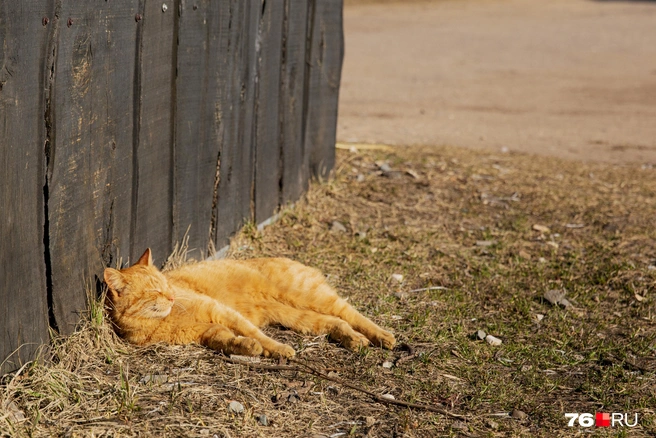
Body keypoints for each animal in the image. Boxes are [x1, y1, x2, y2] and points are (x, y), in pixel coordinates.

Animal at [104, 248, 394, 358]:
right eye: (155, 291)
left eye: (166, 284)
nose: (172, 296)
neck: (159, 321)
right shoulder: (207, 332)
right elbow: (230, 340)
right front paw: (248, 347)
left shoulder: (221, 312)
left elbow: (257, 334)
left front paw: (276, 349)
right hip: (299, 317)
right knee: (336, 322)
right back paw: (354, 340)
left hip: (310, 295)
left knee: (350, 312)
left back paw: (382, 336)